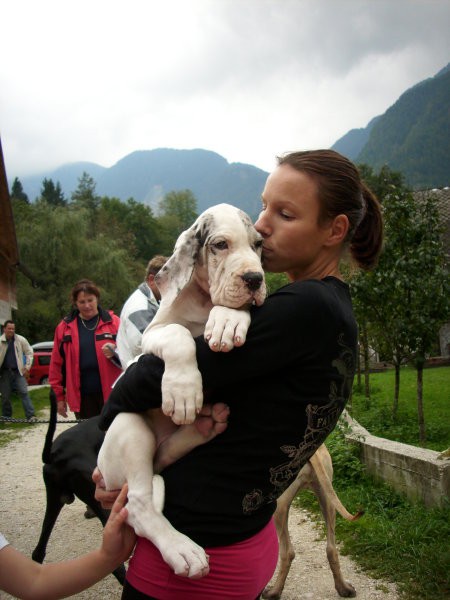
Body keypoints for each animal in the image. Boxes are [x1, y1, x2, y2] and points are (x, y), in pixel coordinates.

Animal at [97, 204, 268, 580]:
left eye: (258, 245)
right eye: (220, 244)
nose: (254, 279)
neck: (203, 302)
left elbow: (231, 310)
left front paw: (227, 319)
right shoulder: (152, 334)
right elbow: (178, 335)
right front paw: (183, 393)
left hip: (159, 451)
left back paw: (204, 425)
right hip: (129, 428)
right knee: (139, 505)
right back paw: (181, 549)